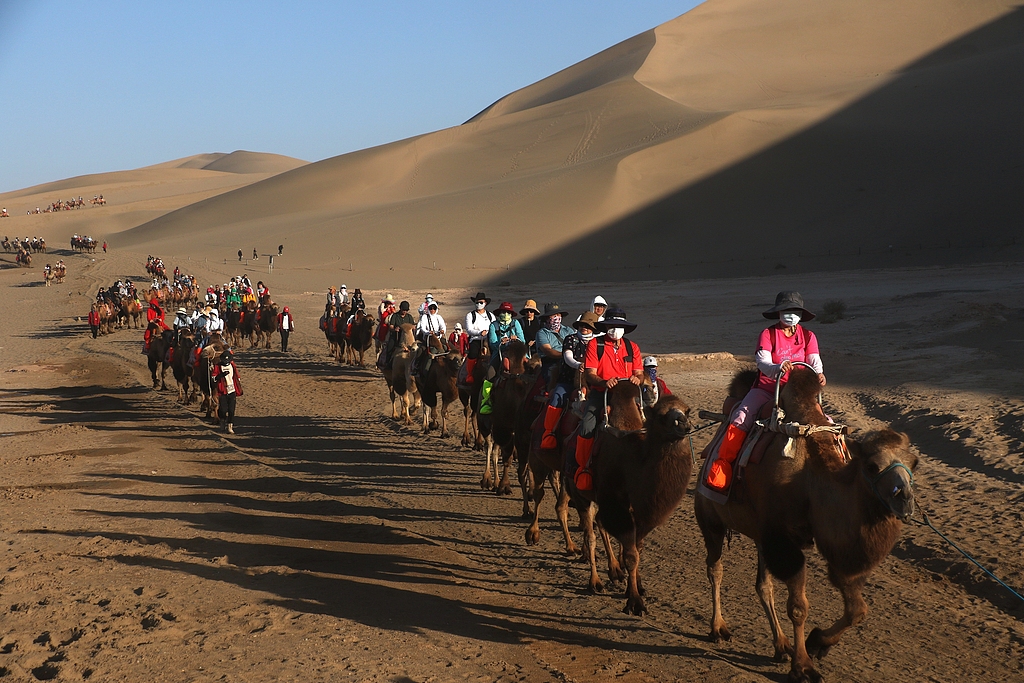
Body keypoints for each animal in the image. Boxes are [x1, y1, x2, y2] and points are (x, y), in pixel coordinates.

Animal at [696, 368, 921, 683]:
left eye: (915, 463)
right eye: (872, 466)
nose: (905, 500)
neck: (810, 480)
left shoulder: (821, 543)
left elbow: (857, 609)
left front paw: (817, 643)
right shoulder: (784, 540)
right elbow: (799, 608)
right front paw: (803, 667)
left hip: (759, 534)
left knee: (763, 585)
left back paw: (781, 645)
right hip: (710, 516)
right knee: (715, 569)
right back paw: (718, 628)